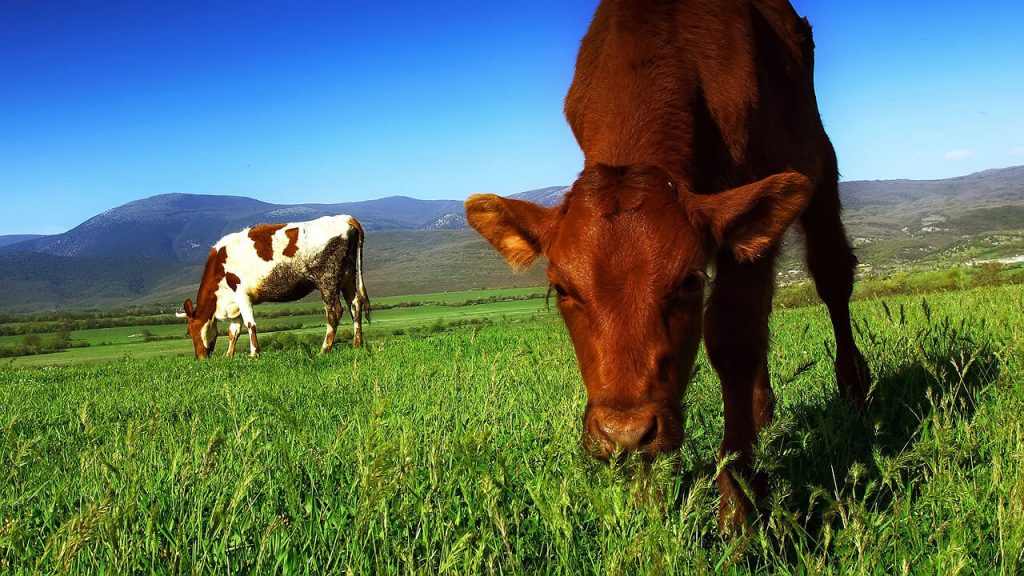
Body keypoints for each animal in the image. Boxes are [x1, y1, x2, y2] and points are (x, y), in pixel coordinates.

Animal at [178, 215, 370, 358]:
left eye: (189, 332)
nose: (199, 358)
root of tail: (345, 218)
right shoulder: (233, 303)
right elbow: (234, 331)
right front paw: (229, 355)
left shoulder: (241, 294)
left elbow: (250, 324)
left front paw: (254, 354)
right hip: (348, 278)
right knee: (355, 306)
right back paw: (357, 345)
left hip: (327, 280)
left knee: (335, 312)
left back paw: (324, 349)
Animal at [464, 0, 872, 520]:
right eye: (562, 288)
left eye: (690, 281)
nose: (624, 432)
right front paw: (649, 498)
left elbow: (734, 340)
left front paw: (738, 503)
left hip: (818, 158)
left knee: (831, 277)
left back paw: (854, 388)